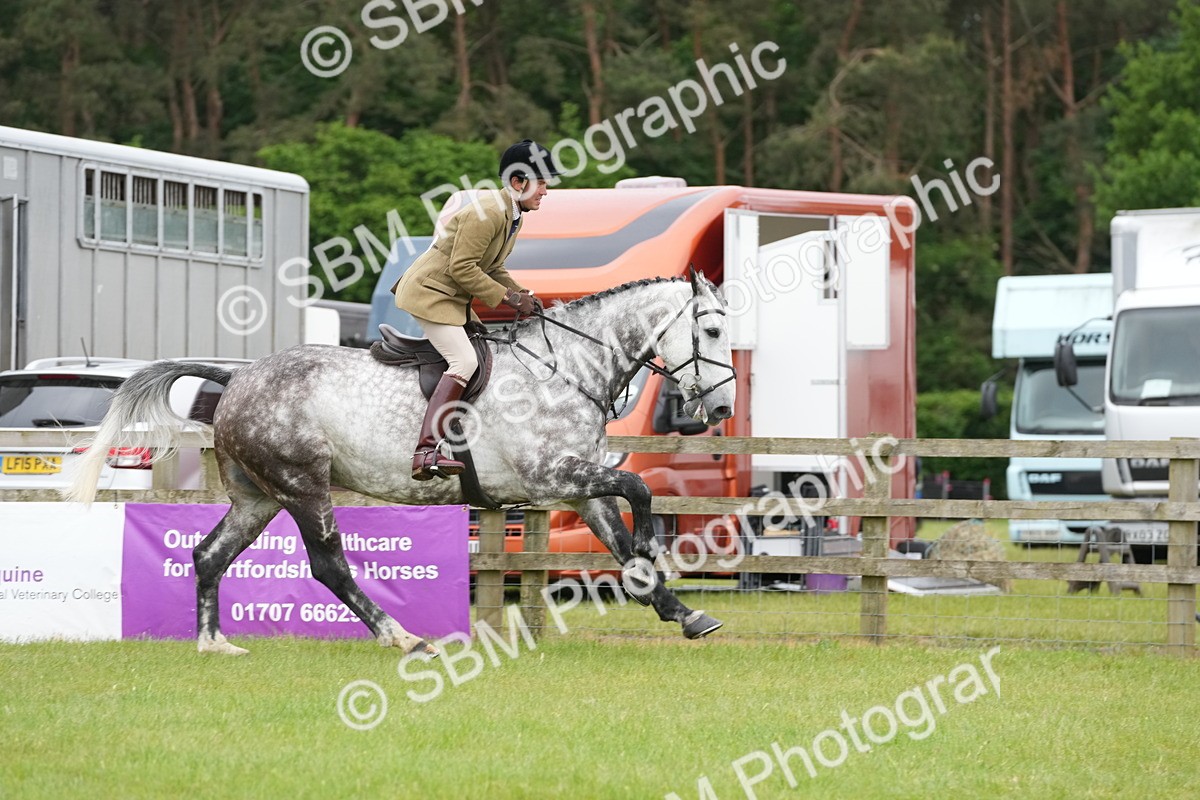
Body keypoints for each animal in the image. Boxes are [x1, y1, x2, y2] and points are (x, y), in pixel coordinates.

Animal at [65, 273, 737, 656]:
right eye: (710, 329)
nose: (726, 406)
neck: (566, 366)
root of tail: (237, 377)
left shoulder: (577, 487)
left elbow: (621, 539)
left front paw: (685, 615)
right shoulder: (552, 475)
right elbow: (638, 489)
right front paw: (655, 548)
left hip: (259, 496)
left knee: (209, 554)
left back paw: (213, 644)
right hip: (303, 486)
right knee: (329, 565)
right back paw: (402, 636)